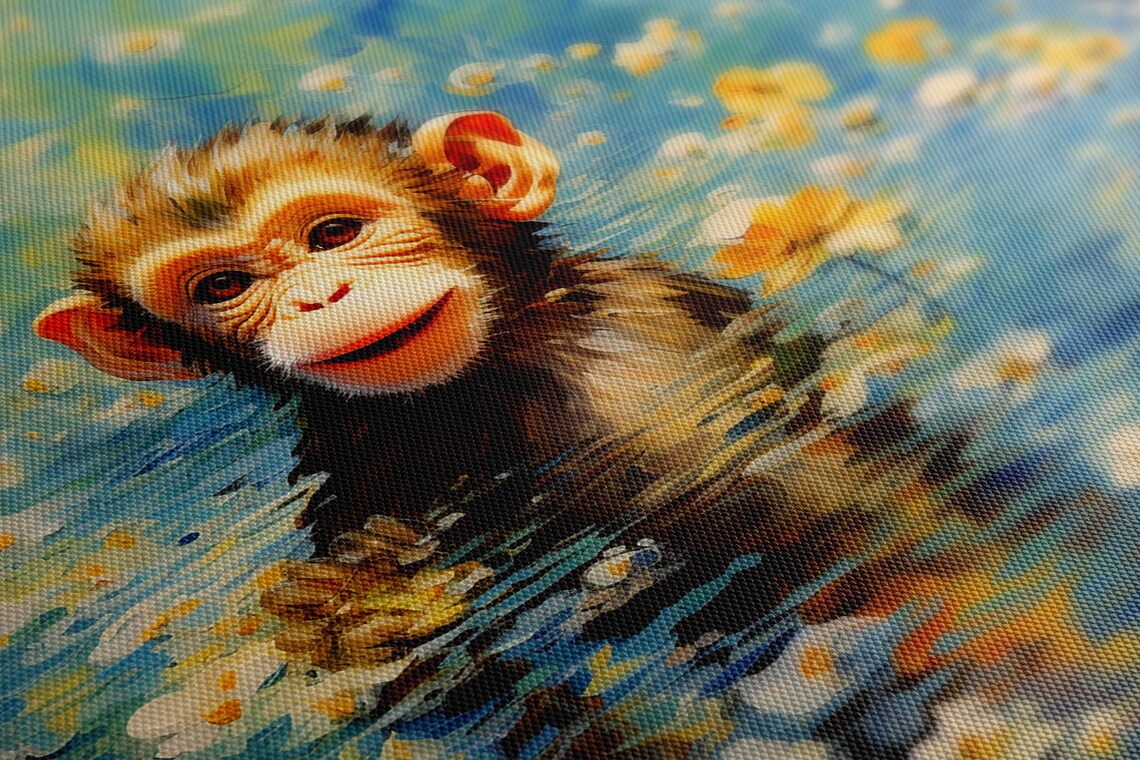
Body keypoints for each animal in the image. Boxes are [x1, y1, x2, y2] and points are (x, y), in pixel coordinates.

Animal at [31, 111, 1134, 757]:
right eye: (223, 286)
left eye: (332, 232)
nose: (320, 296)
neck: (499, 367)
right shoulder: (356, 459)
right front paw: (351, 614)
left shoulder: (642, 355)